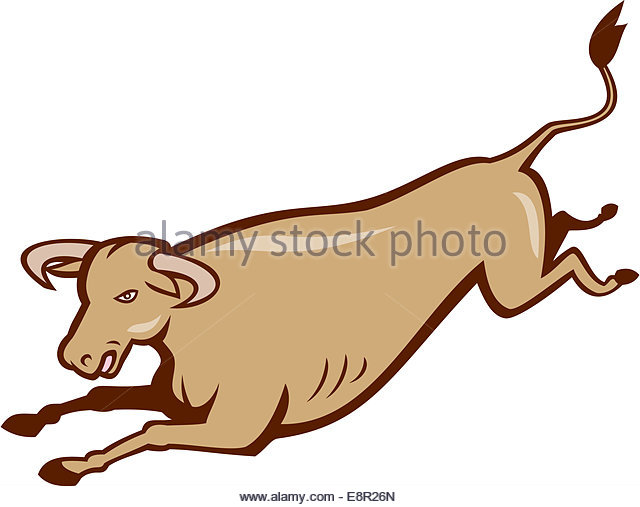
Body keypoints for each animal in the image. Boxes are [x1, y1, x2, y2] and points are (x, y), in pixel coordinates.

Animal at [3, 3, 635, 485]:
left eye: (130, 296)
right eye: (82, 291)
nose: (76, 357)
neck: (194, 328)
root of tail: (505, 161)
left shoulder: (238, 427)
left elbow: (149, 431)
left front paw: (71, 465)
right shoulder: (177, 400)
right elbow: (103, 400)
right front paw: (33, 421)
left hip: (510, 289)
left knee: (567, 262)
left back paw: (610, 277)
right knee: (563, 231)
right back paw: (592, 219)